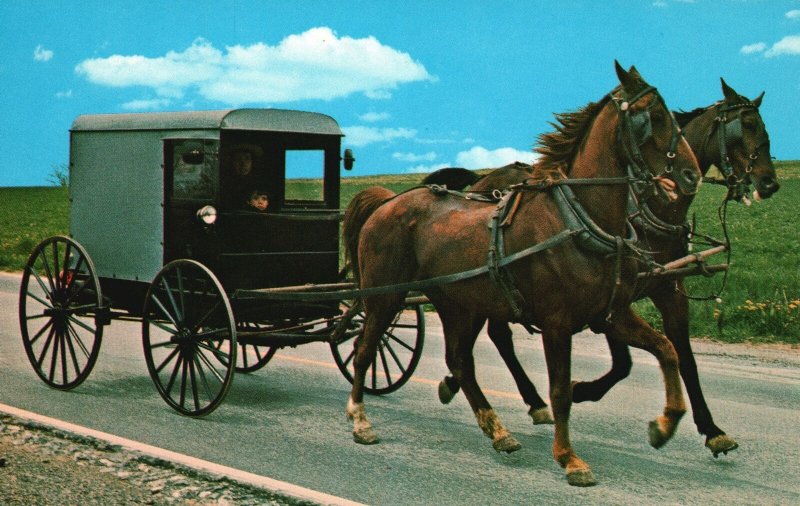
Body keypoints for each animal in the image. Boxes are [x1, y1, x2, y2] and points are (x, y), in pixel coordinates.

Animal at [342, 62, 701, 486]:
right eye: (654, 116)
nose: (692, 175)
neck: (579, 219)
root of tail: (388, 202)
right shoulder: (557, 323)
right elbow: (561, 391)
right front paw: (569, 458)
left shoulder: (612, 314)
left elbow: (666, 349)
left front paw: (665, 424)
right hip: (385, 296)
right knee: (365, 349)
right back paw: (360, 420)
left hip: (458, 303)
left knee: (459, 361)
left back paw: (497, 430)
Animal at [433, 78, 779, 457]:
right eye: (747, 124)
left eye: (763, 125)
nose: (770, 182)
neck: (648, 209)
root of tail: (482, 182)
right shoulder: (612, 299)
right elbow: (624, 363)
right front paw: (582, 390)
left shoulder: (668, 290)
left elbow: (683, 355)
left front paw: (712, 429)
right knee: (494, 335)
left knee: (496, 334)